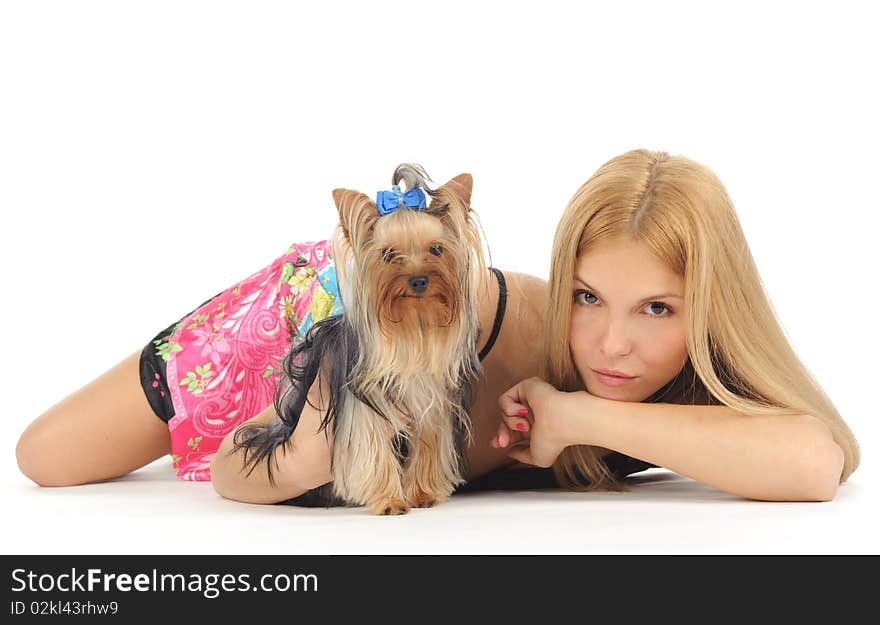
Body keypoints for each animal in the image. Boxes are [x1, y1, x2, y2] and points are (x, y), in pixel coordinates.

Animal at [234, 163, 492, 516]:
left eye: (436, 249)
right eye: (387, 254)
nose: (419, 280)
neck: (413, 327)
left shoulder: (430, 402)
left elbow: (428, 444)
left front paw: (423, 493)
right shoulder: (363, 403)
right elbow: (371, 446)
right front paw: (390, 501)